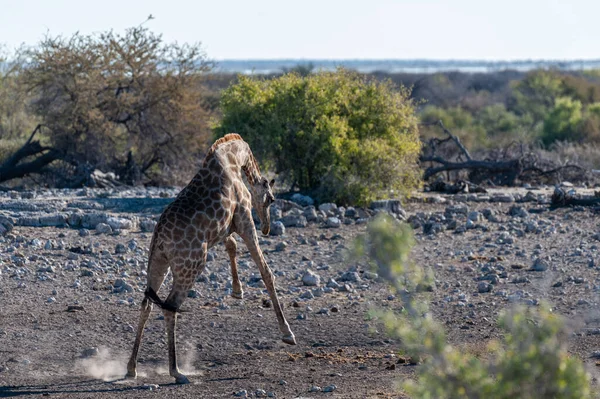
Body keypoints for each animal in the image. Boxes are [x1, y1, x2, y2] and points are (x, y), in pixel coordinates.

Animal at [125, 134, 296, 384]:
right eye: (271, 200)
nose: (266, 227)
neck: (235, 157)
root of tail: (160, 239)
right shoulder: (244, 218)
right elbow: (266, 271)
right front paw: (288, 333)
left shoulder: (225, 227)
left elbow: (232, 246)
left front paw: (237, 291)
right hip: (192, 265)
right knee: (170, 306)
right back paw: (177, 372)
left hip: (157, 263)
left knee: (147, 303)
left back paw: (132, 367)